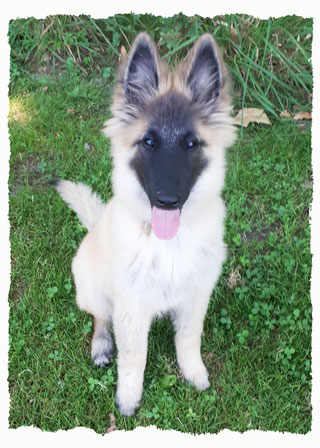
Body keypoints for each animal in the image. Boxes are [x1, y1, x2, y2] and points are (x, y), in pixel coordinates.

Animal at [52, 32, 236, 416]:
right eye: (149, 142)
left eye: (191, 143)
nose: (166, 201)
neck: (168, 242)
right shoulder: (131, 309)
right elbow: (134, 357)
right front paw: (128, 396)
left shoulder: (195, 297)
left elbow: (188, 338)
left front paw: (193, 372)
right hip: (94, 290)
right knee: (100, 318)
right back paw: (101, 346)